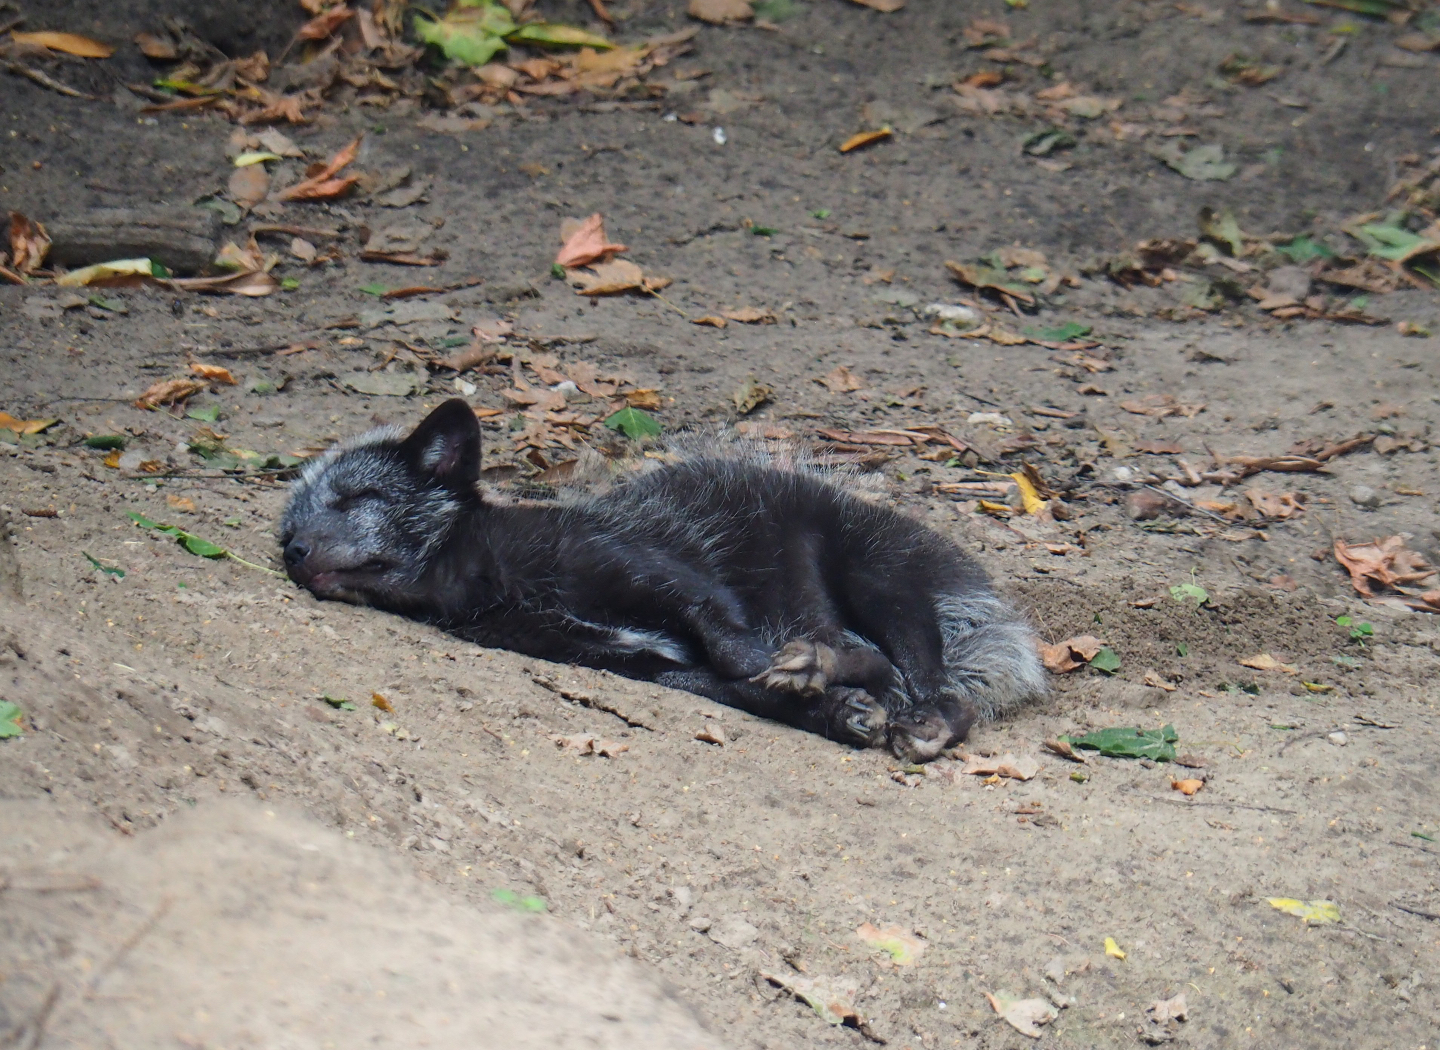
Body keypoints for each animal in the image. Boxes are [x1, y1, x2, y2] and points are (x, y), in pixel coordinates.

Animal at [279, 399, 1045, 762]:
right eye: (285, 532)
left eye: (355, 499)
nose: (294, 553)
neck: (499, 583)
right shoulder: (643, 661)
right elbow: (747, 690)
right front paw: (832, 710)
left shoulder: (656, 572)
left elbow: (743, 650)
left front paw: (821, 675)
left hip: (879, 584)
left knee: (935, 687)